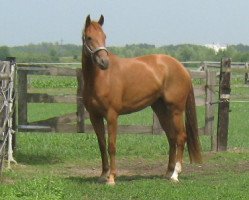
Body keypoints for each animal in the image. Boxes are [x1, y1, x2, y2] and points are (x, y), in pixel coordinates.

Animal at [82, 14, 202, 185]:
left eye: (104, 36)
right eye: (89, 37)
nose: (104, 62)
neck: (100, 79)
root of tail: (182, 68)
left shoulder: (112, 115)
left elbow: (111, 146)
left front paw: (111, 178)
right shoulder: (94, 116)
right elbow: (102, 145)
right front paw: (103, 175)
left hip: (176, 110)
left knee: (180, 137)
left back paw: (175, 175)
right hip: (161, 110)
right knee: (171, 137)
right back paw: (167, 172)